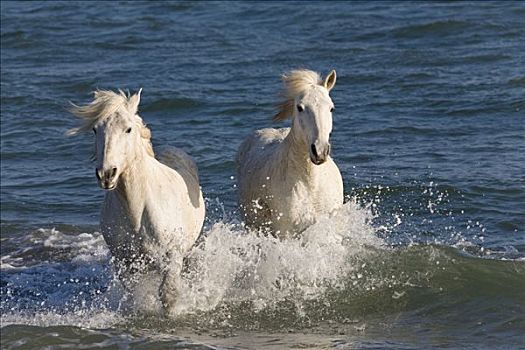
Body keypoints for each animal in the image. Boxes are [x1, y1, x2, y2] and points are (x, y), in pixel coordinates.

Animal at [67, 89, 203, 312]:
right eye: (95, 130)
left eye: (128, 129)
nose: (106, 174)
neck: (138, 213)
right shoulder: (126, 263)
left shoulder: (172, 255)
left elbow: (169, 295)